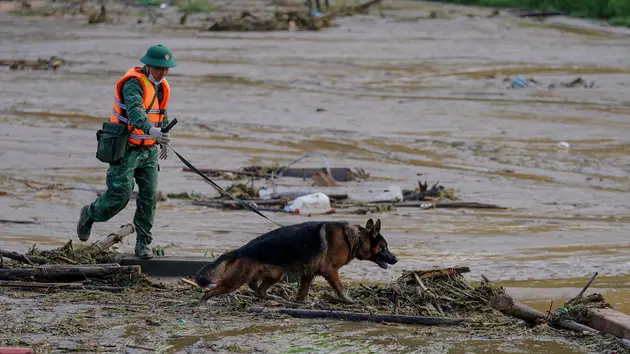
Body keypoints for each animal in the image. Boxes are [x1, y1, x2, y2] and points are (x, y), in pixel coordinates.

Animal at [195, 217, 398, 302]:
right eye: (385, 247)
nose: (396, 259)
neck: (355, 238)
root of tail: (241, 249)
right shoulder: (330, 271)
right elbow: (340, 288)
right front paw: (348, 300)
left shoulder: (308, 274)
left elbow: (302, 292)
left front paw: (299, 303)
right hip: (236, 281)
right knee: (211, 291)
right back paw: (204, 302)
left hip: (275, 273)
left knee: (257, 288)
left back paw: (270, 296)